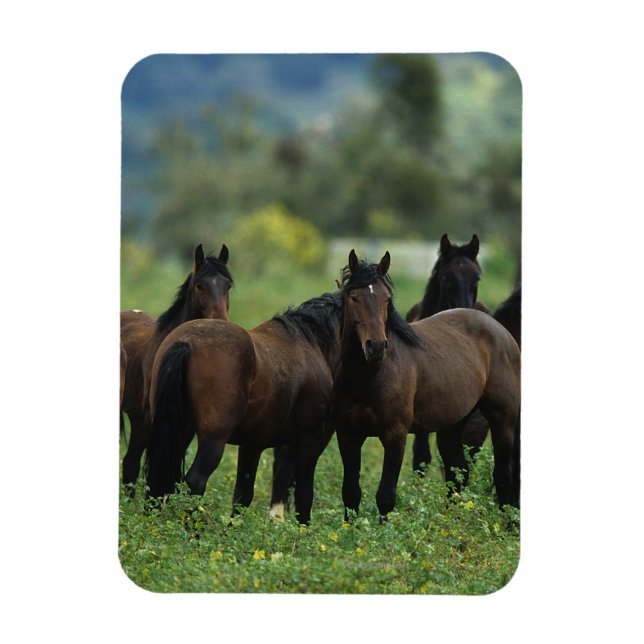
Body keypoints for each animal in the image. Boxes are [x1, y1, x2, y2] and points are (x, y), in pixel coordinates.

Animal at [144, 291, 344, 525]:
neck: (311, 342)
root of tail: (185, 343)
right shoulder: (309, 438)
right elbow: (303, 492)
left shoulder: (252, 444)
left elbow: (243, 494)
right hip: (213, 439)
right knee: (195, 481)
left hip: (177, 430)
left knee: (157, 478)